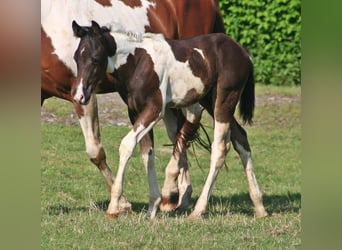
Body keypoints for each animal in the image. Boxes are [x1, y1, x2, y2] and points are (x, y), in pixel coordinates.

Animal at [41, 0, 226, 213]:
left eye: (95, 60)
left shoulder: (83, 94)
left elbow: (95, 150)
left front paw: (121, 203)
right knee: (179, 133)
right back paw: (178, 195)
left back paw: (173, 194)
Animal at [73, 20, 270, 218]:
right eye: (76, 58)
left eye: (95, 59)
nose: (80, 96)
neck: (138, 62)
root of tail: (243, 52)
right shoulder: (135, 112)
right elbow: (147, 154)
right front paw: (152, 208)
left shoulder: (155, 109)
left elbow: (127, 145)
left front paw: (114, 207)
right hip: (210, 102)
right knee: (241, 139)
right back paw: (259, 206)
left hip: (224, 101)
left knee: (220, 148)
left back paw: (199, 210)